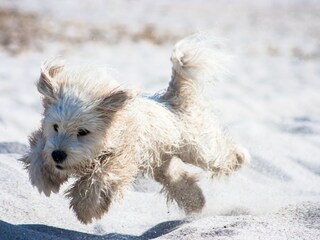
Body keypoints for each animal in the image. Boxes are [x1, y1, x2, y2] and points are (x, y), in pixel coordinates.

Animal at [21, 33, 250, 223]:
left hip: (196, 147)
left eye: (83, 132)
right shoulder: (47, 142)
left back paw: (240, 157)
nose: (59, 155)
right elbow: (38, 152)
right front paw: (45, 177)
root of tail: (171, 100)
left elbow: (100, 179)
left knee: (219, 155)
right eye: (55, 126)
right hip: (161, 161)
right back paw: (196, 202)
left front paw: (86, 209)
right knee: (179, 178)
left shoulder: (121, 159)